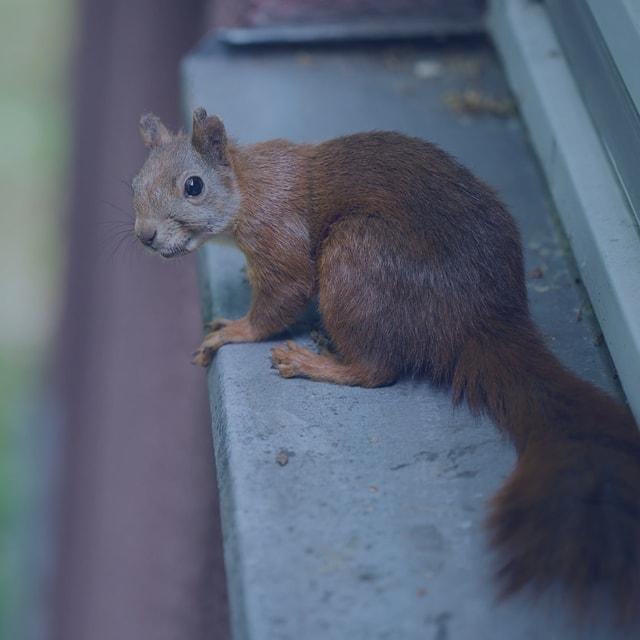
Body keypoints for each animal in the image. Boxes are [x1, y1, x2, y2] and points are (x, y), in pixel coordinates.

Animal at [132, 107, 640, 621]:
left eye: (193, 186)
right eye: (134, 182)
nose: (145, 236)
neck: (250, 185)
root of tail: (482, 318)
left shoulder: (278, 237)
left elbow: (282, 298)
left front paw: (232, 330)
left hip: (356, 257)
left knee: (377, 370)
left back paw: (316, 361)